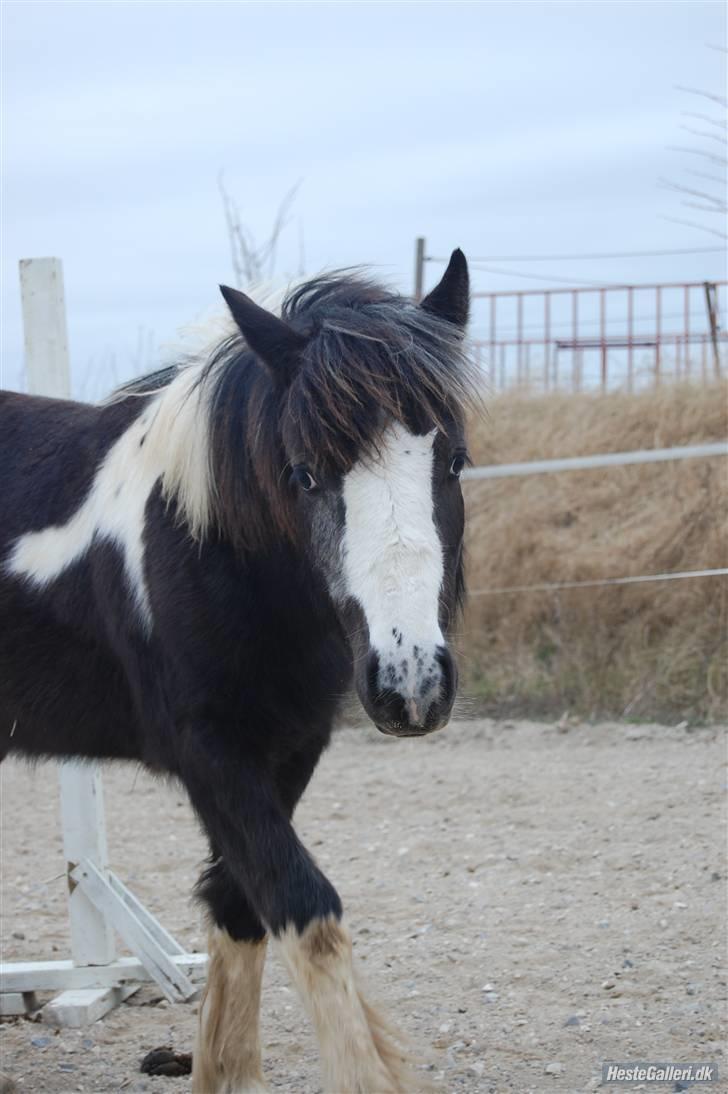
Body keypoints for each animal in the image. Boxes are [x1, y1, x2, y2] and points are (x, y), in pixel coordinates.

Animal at [1, 250, 477, 1094]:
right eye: (304, 473)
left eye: (453, 460)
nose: (411, 684)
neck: (202, 544)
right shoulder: (210, 754)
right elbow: (306, 910)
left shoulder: (289, 748)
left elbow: (241, 906)